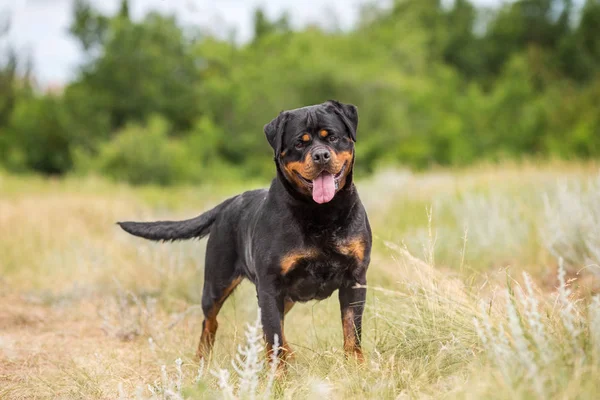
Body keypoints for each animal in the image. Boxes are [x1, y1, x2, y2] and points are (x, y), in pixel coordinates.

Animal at [116, 101, 370, 366]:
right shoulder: (270, 285)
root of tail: (228, 203)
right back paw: (202, 360)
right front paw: (277, 375)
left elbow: (352, 331)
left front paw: (356, 367)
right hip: (217, 283)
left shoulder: (354, 279)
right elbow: (273, 337)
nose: (321, 155)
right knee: (211, 322)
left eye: (331, 137)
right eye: (300, 143)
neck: (320, 213)